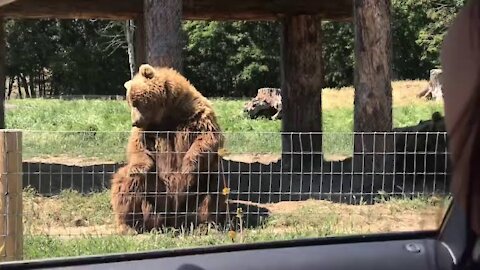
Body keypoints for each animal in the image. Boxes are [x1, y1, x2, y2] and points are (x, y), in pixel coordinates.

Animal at [110, 63, 229, 234]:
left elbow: (208, 137)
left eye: (136, 102)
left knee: (213, 187)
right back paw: (129, 226)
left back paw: (206, 224)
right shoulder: (148, 130)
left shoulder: (195, 114)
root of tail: (172, 219)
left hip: (198, 187)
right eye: (130, 103)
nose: (134, 122)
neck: (166, 114)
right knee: (125, 184)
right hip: (155, 193)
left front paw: (187, 166)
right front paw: (139, 167)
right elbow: (138, 146)